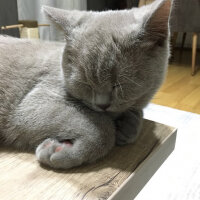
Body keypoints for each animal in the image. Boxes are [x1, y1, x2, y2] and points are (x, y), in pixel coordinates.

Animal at [0, 0, 172, 169]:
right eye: (86, 83)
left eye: (118, 84)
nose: (102, 105)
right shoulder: (34, 102)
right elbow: (103, 128)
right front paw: (60, 150)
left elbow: (136, 113)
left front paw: (127, 127)